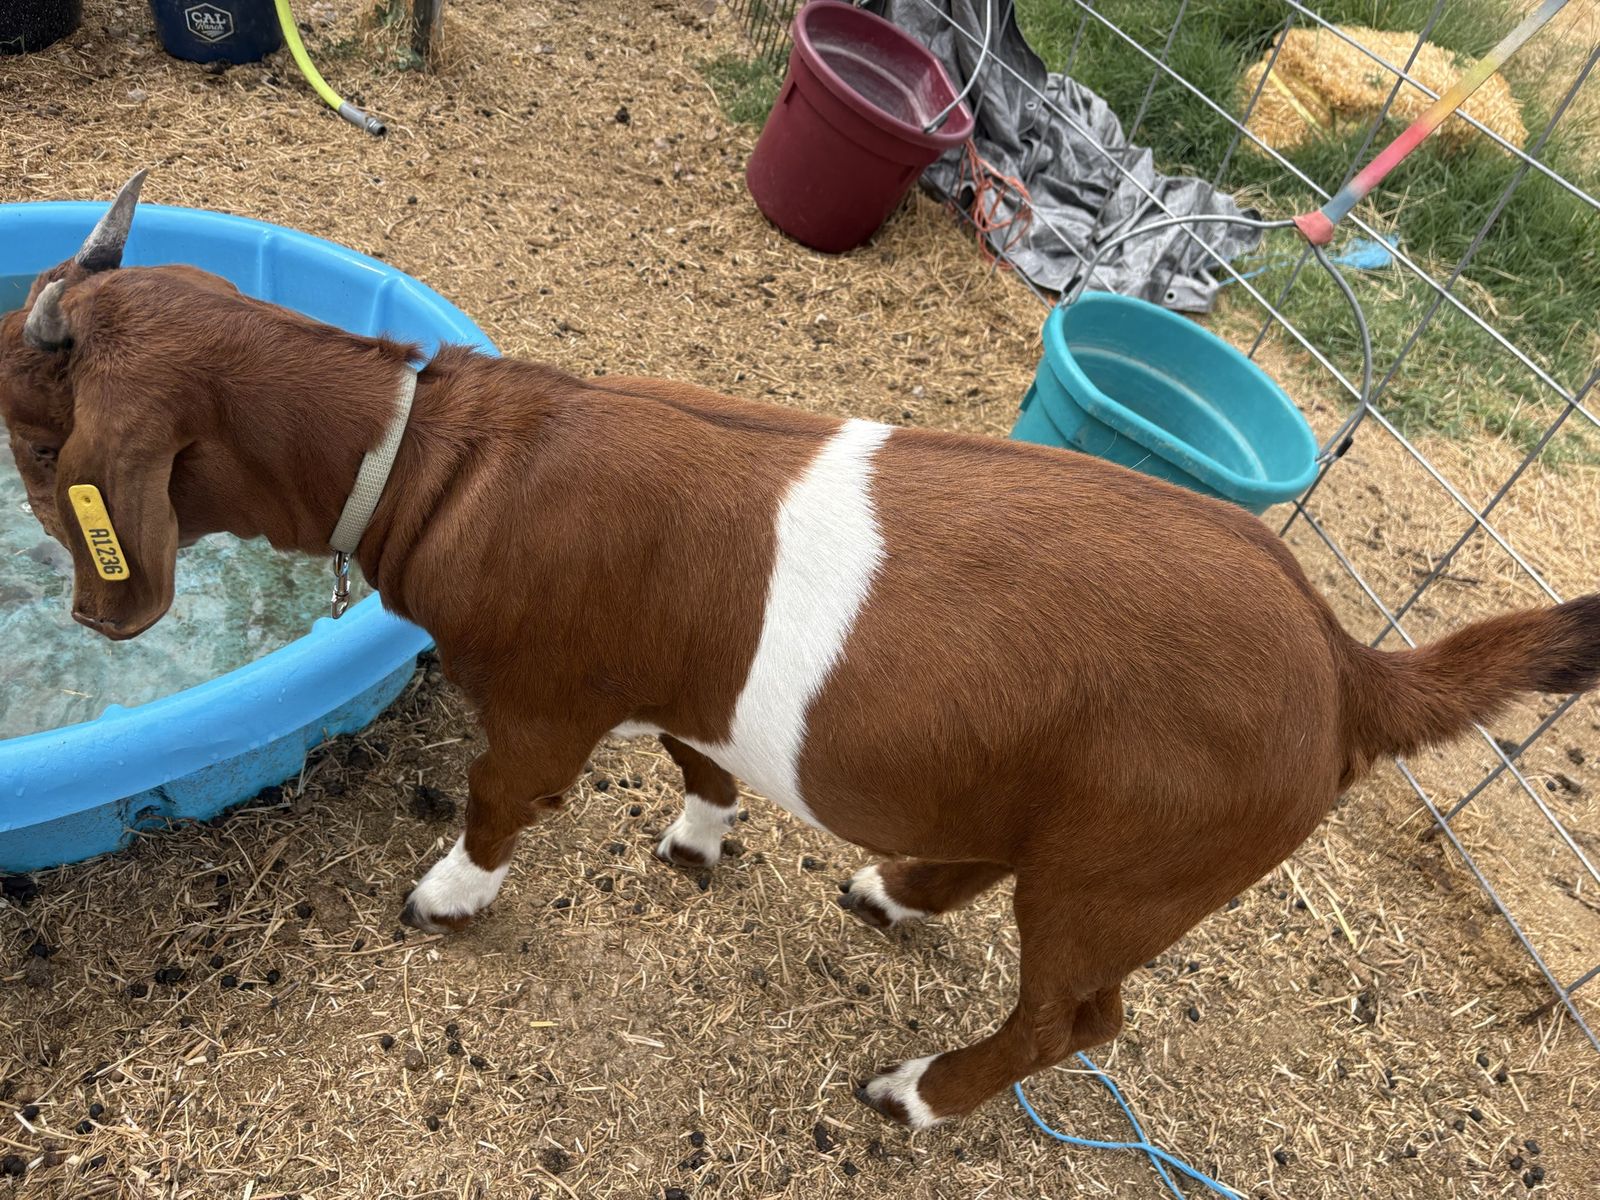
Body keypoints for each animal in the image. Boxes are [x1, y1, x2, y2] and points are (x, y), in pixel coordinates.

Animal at [4, 175, 1597, 1127]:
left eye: (35, 431)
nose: (64, 583)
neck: (436, 454)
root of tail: (1349, 667)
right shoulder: (675, 676)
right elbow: (703, 758)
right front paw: (700, 841)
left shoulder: (543, 699)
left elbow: (502, 800)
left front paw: (445, 898)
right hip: (1057, 812)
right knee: (994, 882)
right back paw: (888, 889)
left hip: (1128, 869)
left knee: (1077, 1015)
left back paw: (919, 1092)